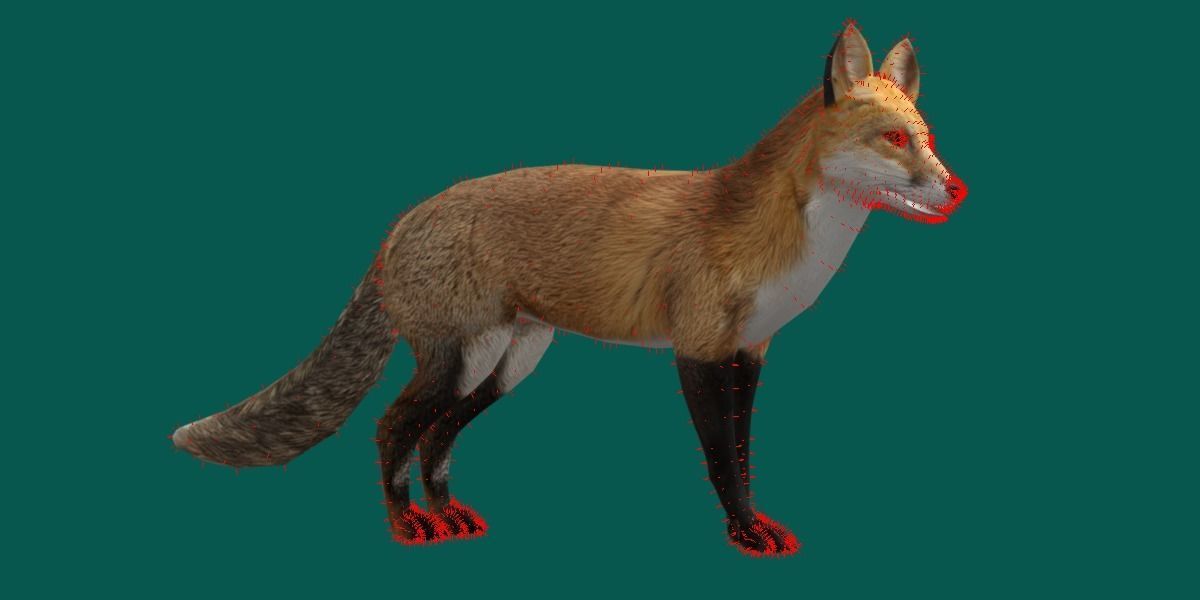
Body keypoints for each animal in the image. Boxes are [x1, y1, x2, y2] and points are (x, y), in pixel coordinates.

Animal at [172, 22, 967, 557]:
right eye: (895, 140)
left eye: (928, 136)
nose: (956, 189)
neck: (780, 246)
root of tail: (404, 219)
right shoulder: (699, 352)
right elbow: (722, 461)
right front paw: (744, 532)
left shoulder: (751, 354)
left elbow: (744, 453)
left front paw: (754, 524)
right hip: (457, 362)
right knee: (392, 429)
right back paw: (408, 525)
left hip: (505, 366)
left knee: (435, 439)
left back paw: (449, 513)